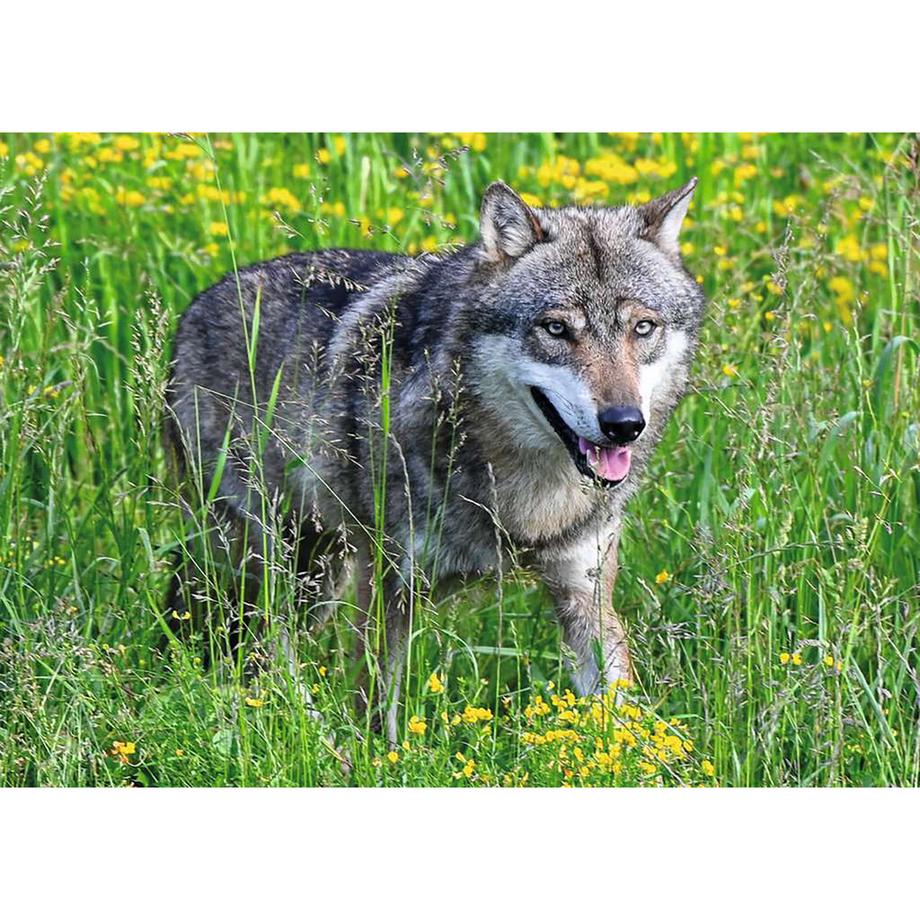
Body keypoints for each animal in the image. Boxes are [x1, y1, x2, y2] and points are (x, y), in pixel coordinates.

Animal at [165, 178, 705, 742]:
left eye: (642, 328)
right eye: (556, 329)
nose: (624, 423)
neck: (526, 493)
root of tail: (194, 310)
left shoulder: (585, 593)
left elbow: (620, 715)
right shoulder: (388, 586)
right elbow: (375, 707)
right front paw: (374, 757)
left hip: (317, 575)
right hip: (273, 563)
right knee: (258, 644)